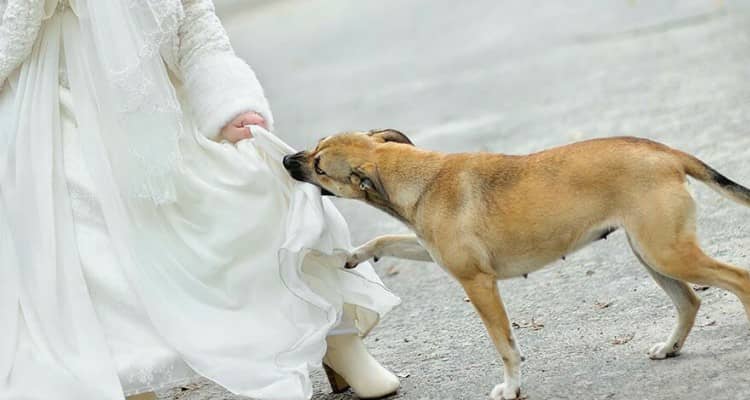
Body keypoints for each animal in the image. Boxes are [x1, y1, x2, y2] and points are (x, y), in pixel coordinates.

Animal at [282, 130, 750, 396]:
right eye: (316, 151)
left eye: (319, 167)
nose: (287, 160)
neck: (418, 177)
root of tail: (665, 151)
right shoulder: (429, 249)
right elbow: (386, 239)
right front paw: (350, 256)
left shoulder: (478, 284)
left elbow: (505, 346)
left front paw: (511, 388)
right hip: (653, 253)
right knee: (689, 301)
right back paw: (670, 348)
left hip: (667, 252)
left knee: (739, 279)